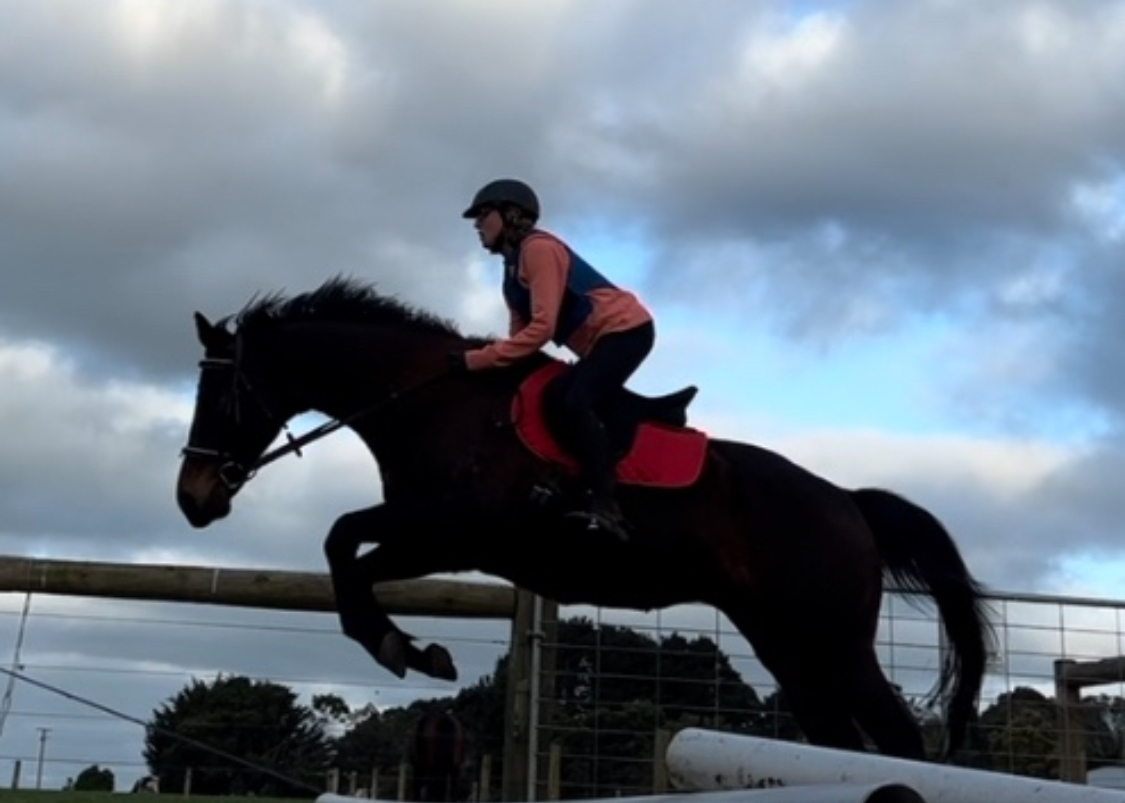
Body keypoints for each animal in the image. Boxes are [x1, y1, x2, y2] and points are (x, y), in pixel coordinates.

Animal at [175, 275, 997, 762]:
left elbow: (345, 543)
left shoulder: (451, 532)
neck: (431, 401)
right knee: (834, 739)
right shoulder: (424, 524)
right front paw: (406, 646)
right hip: (784, 642)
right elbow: (344, 544)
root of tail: (847, 500)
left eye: (221, 393)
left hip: (833, 638)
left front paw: (402, 647)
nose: (193, 496)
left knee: (894, 737)